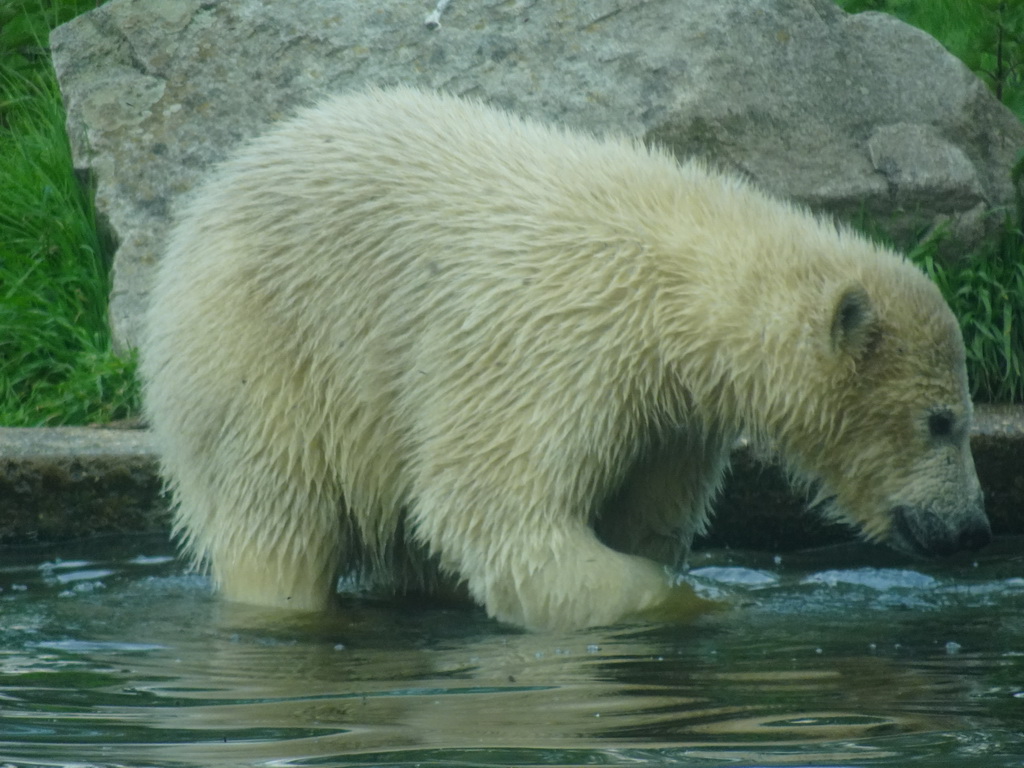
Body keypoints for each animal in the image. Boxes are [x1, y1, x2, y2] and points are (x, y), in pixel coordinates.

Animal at [140, 87, 987, 634]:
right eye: (942, 421)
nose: (972, 526)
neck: (677, 291)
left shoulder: (671, 413)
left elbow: (642, 518)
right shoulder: (557, 343)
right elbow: (498, 512)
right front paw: (700, 601)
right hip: (265, 350)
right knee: (276, 518)